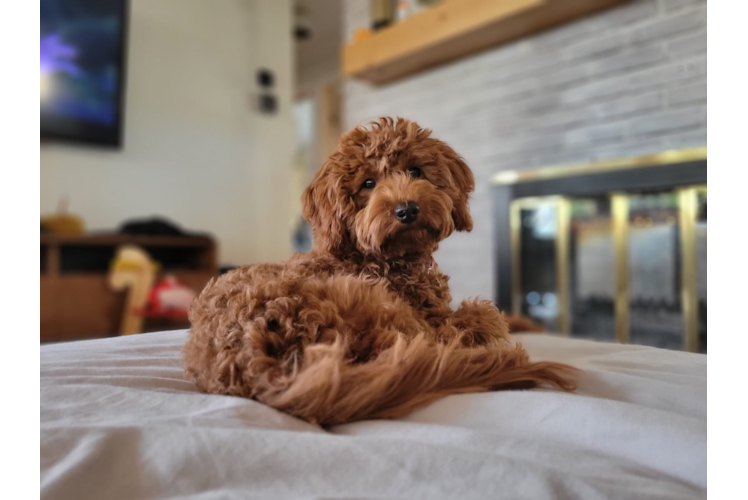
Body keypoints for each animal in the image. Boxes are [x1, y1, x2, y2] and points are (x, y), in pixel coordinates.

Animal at [184, 118, 576, 426]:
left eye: (416, 171)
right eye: (368, 184)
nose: (407, 209)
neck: (383, 259)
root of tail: (257, 361)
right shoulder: (432, 318)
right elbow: (486, 315)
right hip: (386, 315)